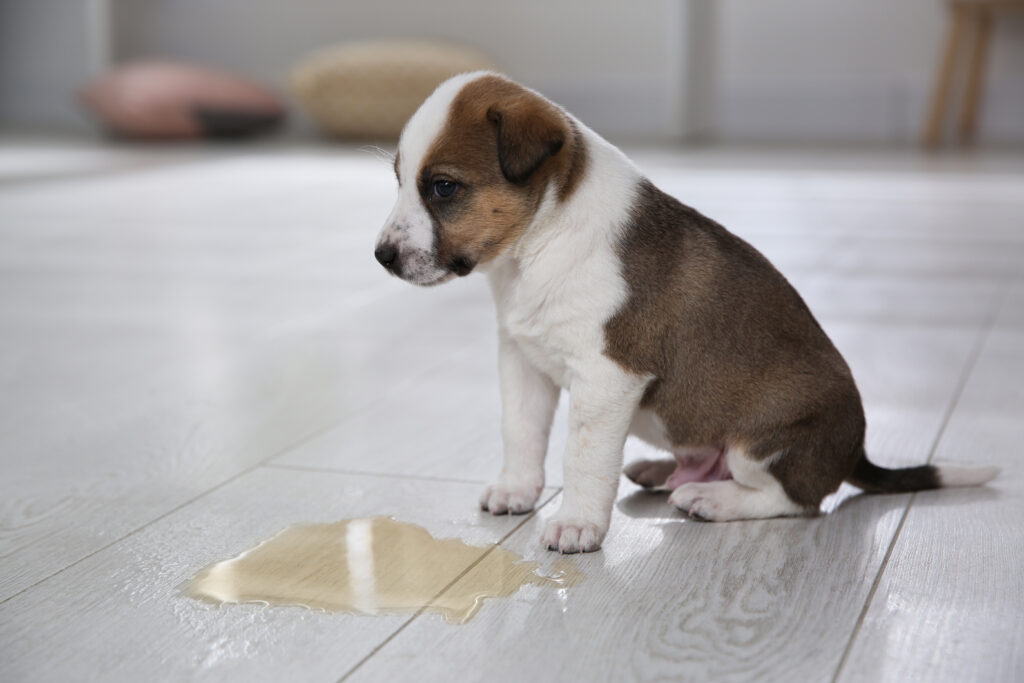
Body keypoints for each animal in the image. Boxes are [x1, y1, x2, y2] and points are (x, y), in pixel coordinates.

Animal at [372, 73, 995, 557]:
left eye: (443, 187)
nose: (381, 256)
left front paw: (576, 524)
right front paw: (516, 490)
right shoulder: (522, 361)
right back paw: (659, 471)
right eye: (401, 181)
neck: (538, 246)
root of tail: (854, 453)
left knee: (798, 499)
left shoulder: (608, 378)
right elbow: (521, 433)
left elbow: (583, 457)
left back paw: (711, 498)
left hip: (763, 441)